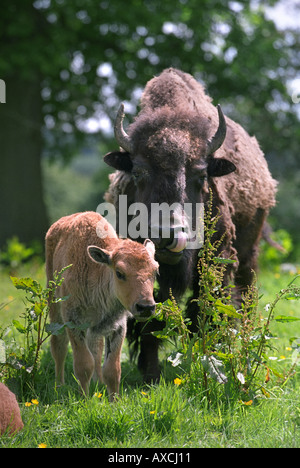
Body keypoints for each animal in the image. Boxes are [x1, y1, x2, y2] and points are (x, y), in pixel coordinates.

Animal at [45, 212, 158, 398]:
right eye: (119, 273)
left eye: (155, 271)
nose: (146, 307)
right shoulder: (74, 322)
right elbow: (83, 365)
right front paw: (84, 399)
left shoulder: (117, 327)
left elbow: (112, 369)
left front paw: (114, 400)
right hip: (55, 311)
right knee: (59, 346)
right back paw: (59, 386)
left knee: (95, 349)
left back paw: (97, 382)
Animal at [103, 67, 276, 382]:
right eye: (138, 172)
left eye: (201, 174)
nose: (164, 235)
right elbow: (149, 317)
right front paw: (151, 375)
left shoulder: (217, 262)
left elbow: (207, 311)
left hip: (250, 251)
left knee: (245, 292)